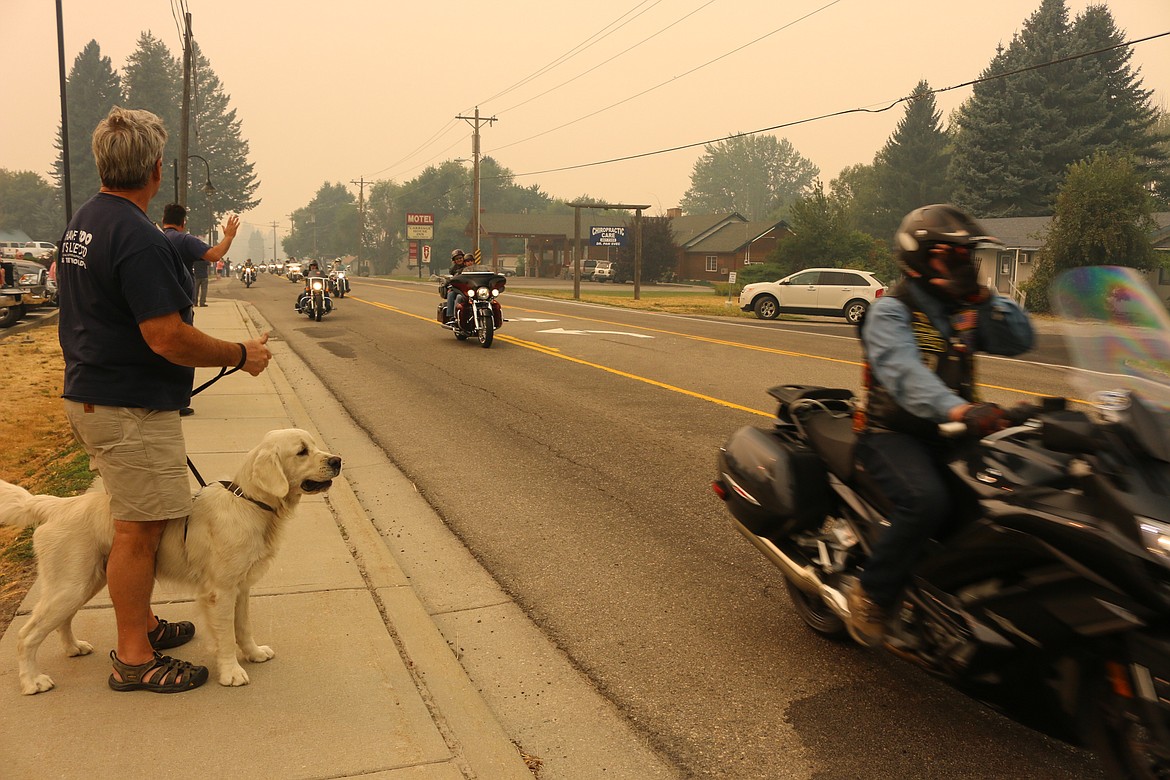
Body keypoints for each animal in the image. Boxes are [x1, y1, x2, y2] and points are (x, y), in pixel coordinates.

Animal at [0, 428, 341, 696]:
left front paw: (254, 654)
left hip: (83, 582)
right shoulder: (220, 591)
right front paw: (231, 672)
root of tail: (56, 505)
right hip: (71, 585)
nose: (337, 461)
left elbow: (243, 628)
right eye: (301, 451)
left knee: (62, 621)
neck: (249, 505)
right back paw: (32, 682)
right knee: (26, 636)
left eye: (314, 445)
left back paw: (73, 648)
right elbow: (226, 636)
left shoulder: (241, 587)